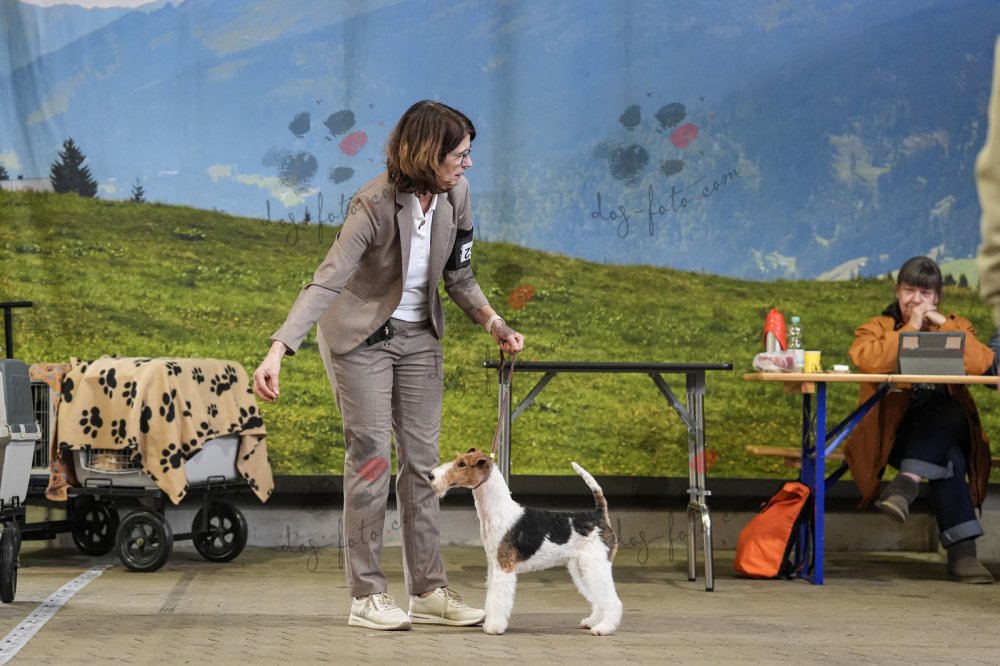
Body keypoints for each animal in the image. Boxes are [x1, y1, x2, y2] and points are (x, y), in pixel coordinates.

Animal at [429, 448, 622, 636]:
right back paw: (592, 622)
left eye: (462, 464)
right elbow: (491, 597)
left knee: (613, 601)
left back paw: (603, 628)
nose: (431, 475)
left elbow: (498, 600)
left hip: (595, 565)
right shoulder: (494, 565)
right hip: (581, 567)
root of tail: (599, 515)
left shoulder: (504, 567)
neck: (499, 511)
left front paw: (494, 627)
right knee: (598, 598)